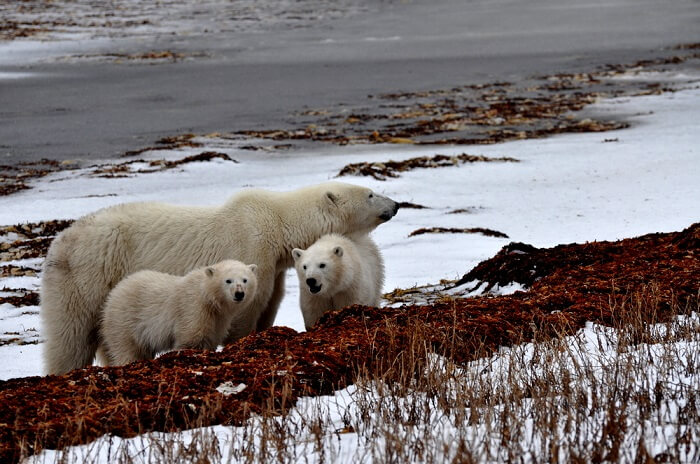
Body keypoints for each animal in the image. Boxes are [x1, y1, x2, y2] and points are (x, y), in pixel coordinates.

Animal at [100, 260, 258, 366]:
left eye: (245, 280)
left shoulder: (219, 318)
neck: (206, 295)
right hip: (125, 319)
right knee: (127, 348)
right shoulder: (193, 307)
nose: (239, 294)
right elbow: (191, 338)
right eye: (228, 280)